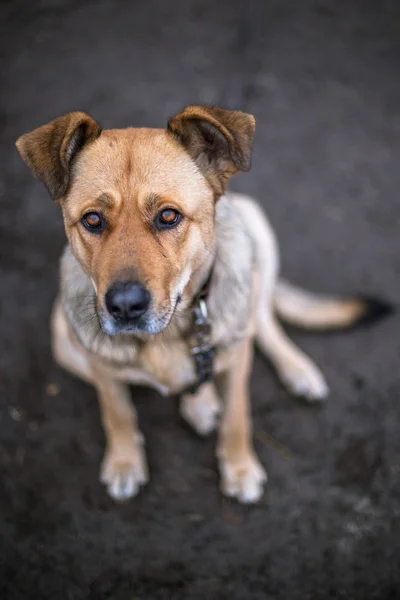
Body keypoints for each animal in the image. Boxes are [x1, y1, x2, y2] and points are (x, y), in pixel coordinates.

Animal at [15, 106, 390, 502]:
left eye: (168, 216)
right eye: (92, 219)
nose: (125, 306)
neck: (165, 337)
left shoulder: (237, 360)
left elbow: (237, 418)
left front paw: (239, 468)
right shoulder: (101, 367)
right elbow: (117, 413)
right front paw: (125, 462)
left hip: (256, 231)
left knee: (263, 320)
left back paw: (296, 370)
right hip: (62, 339)